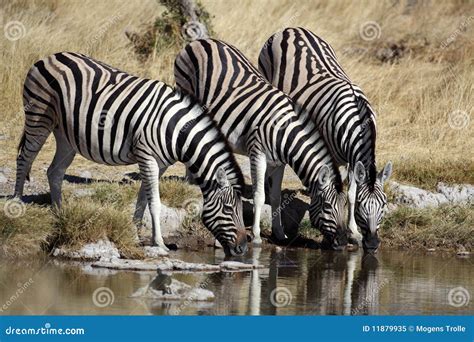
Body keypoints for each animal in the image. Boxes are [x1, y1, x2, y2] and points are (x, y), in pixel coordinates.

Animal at [13, 52, 248, 256]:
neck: (176, 131)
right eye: (228, 208)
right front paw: (159, 243)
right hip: (39, 116)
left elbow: (143, 199)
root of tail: (49, 56)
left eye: (241, 209)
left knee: (55, 171)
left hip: (65, 135)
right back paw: (17, 203)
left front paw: (136, 235)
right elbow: (154, 202)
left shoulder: (159, 163)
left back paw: (59, 214)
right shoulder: (147, 156)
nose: (243, 248)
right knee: (24, 158)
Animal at [174, 38, 348, 250]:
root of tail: (201, 40)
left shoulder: (279, 163)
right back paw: (190, 178)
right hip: (186, 90)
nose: (342, 242)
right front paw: (256, 236)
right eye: (327, 206)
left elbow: (275, 198)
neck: (284, 132)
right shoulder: (257, 153)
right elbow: (259, 196)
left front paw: (280, 234)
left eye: (345, 206)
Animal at [260, 26, 392, 251]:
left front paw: (353, 232)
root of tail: (291, 28)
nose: (373, 245)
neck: (359, 118)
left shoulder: (351, 159)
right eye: (363, 207)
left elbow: (350, 193)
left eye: (383, 206)